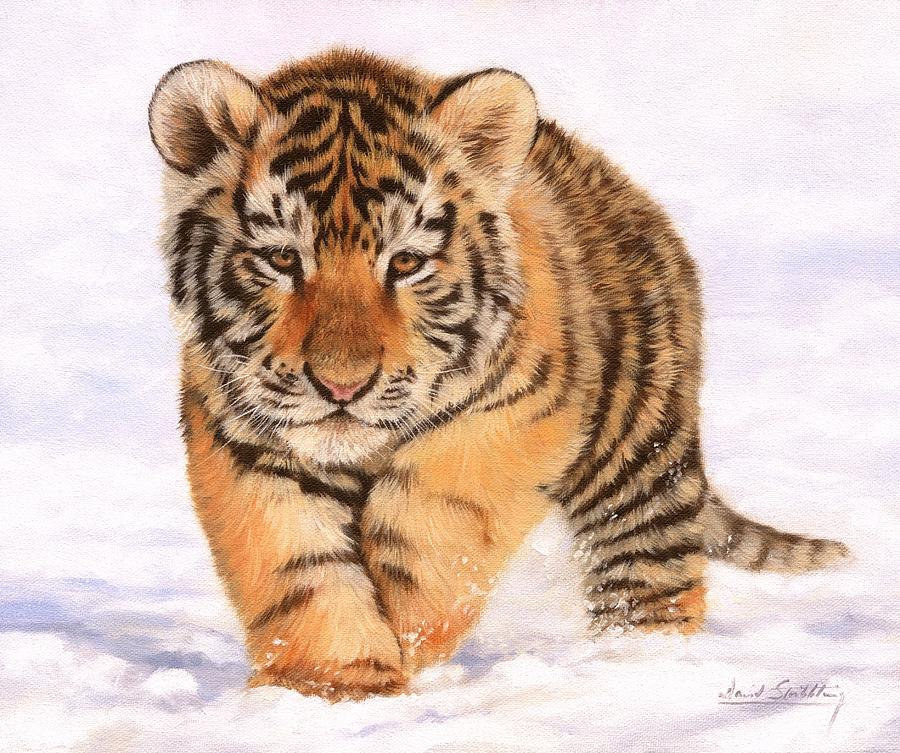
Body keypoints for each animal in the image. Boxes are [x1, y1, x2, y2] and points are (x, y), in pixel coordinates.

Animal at [148, 49, 848, 701]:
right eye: (280, 259)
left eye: (406, 263)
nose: (341, 386)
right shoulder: (242, 436)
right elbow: (297, 563)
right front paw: (332, 689)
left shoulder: (519, 414)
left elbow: (435, 523)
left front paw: (409, 631)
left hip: (639, 460)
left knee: (653, 578)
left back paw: (633, 673)